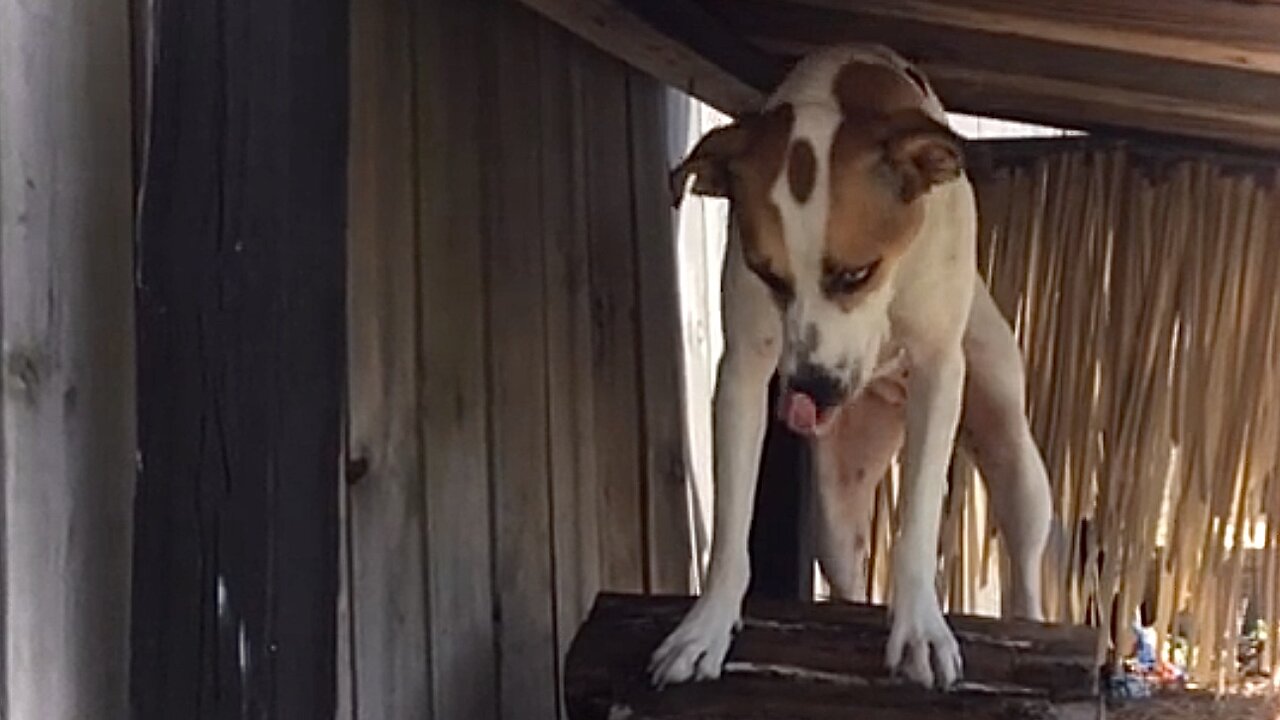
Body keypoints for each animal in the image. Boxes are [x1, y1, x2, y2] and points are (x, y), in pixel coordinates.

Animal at [650, 46, 1049, 691]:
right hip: (837, 505)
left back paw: (1033, 626)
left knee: (1028, 559)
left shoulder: (939, 369)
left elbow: (917, 525)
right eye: (768, 274)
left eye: (858, 273)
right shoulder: (743, 373)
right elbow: (731, 527)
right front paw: (705, 628)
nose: (812, 390)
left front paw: (921, 630)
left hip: (1014, 455)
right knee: (849, 573)